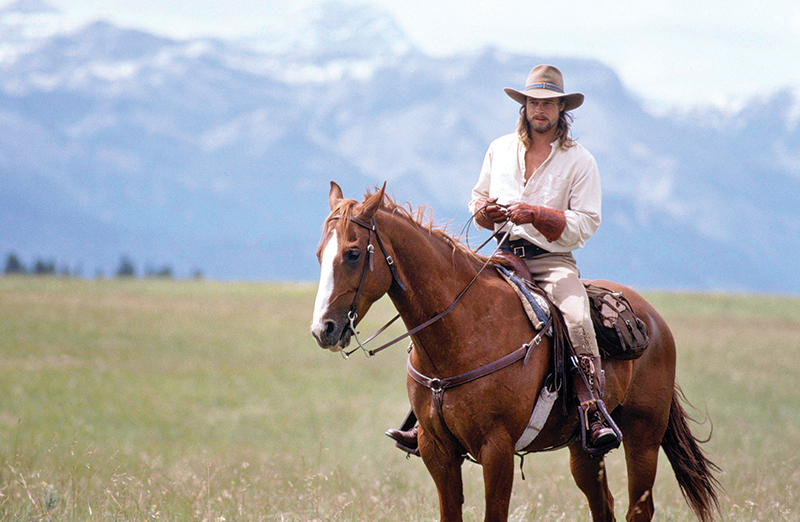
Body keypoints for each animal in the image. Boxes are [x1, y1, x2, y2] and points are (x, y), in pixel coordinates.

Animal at [310, 181, 721, 522]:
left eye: (352, 254)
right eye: (318, 254)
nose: (323, 329)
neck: (461, 331)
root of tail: (653, 321)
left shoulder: (497, 449)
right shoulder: (435, 449)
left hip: (643, 437)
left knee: (639, 508)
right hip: (584, 450)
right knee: (602, 504)